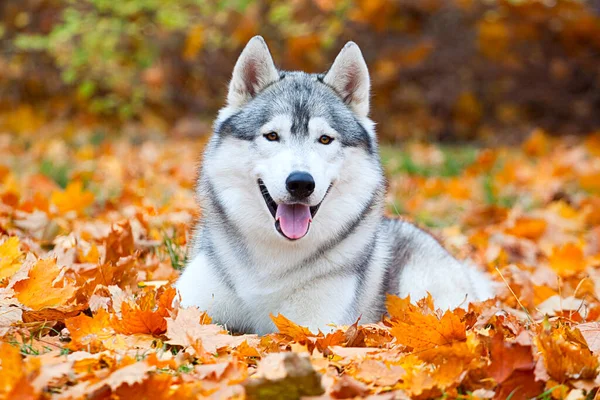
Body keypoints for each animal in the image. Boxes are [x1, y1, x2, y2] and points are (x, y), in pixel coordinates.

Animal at [176, 36, 494, 336]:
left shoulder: (315, 326)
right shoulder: (188, 306)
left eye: (325, 139)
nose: (300, 183)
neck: (272, 264)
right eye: (272, 136)